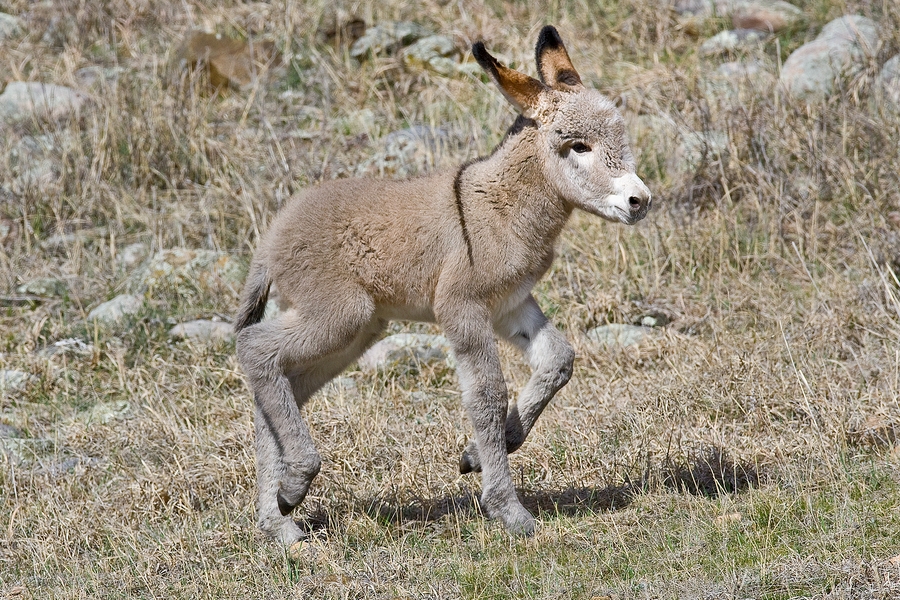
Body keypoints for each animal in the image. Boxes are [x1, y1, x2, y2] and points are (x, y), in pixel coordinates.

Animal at [236, 25, 652, 548]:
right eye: (577, 146)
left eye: (621, 135)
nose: (640, 201)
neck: (503, 204)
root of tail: (270, 239)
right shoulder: (462, 307)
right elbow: (487, 395)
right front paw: (507, 510)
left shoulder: (511, 303)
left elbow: (558, 360)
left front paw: (494, 446)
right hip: (340, 314)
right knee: (255, 349)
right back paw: (294, 484)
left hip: (356, 332)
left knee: (279, 381)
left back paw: (278, 519)